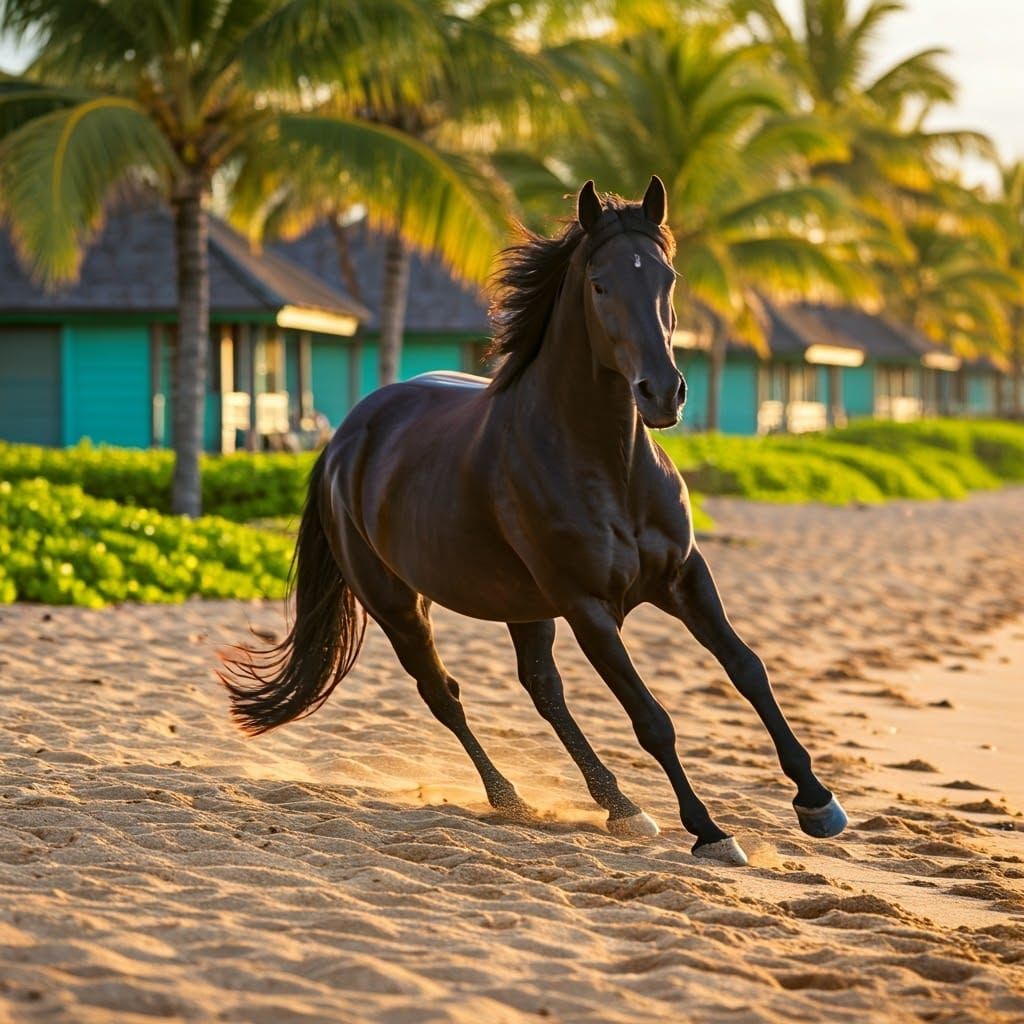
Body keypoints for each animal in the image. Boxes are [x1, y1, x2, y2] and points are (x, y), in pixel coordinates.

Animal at [220, 176, 847, 865]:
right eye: (600, 285)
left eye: (668, 278)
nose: (662, 394)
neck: (607, 464)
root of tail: (343, 439)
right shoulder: (588, 608)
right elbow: (650, 719)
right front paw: (710, 832)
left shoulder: (684, 577)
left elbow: (748, 670)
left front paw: (817, 802)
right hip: (399, 606)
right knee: (444, 695)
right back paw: (512, 799)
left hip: (521, 604)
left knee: (541, 688)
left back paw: (620, 806)